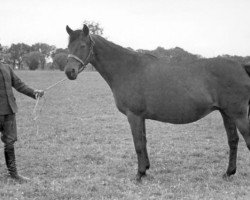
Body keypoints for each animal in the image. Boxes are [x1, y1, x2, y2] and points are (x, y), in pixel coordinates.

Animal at [65, 23, 250, 181]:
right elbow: (144, 141)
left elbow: (138, 144)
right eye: (68, 46)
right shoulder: (141, 117)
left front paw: (139, 174)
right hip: (227, 113)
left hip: (238, 114)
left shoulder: (134, 115)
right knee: (233, 141)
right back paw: (228, 173)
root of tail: (241, 66)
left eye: (83, 45)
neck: (127, 69)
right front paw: (146, 169)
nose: (69, 72)